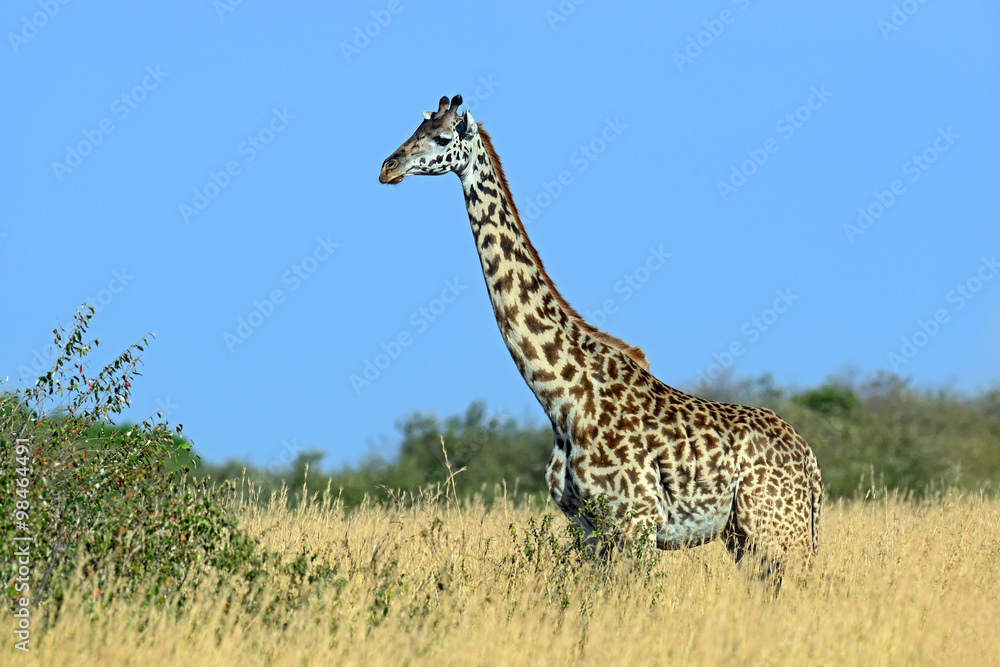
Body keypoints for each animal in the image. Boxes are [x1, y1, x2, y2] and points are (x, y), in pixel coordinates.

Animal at [379, 95, 822, 583]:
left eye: (442, 138)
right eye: (413, 130)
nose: (387, 167)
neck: (561, 397)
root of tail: (810, 460)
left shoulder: (638, 521)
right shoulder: (590, 527)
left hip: (779, 531)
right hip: (742, 535)